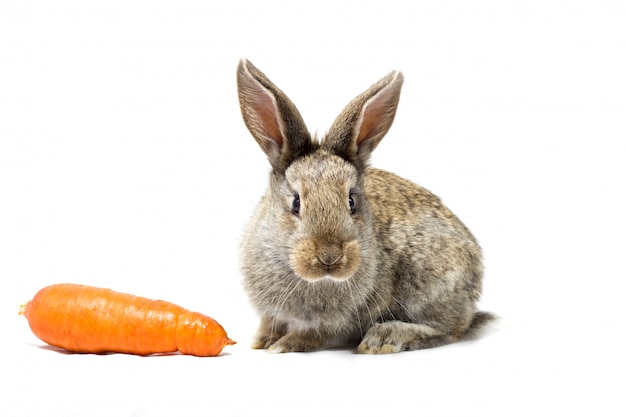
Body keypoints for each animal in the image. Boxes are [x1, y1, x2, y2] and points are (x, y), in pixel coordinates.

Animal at [236, 57, 490, 352]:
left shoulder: (334, 322)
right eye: (296, 203)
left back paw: (385, 337)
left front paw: (283, 345)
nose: (329, 257)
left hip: (429, 285)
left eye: (351, 201)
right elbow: (270, 322)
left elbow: (312, 334)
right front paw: (261, 341)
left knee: (449, 329)